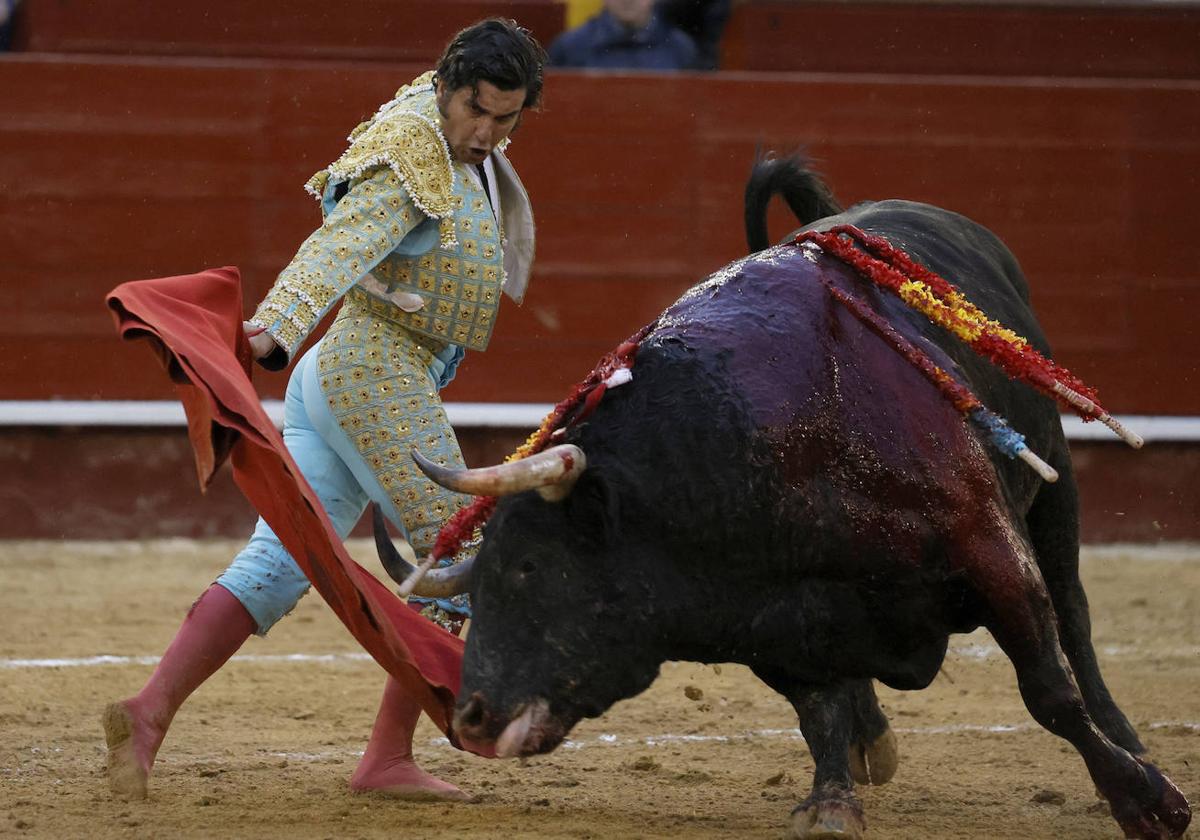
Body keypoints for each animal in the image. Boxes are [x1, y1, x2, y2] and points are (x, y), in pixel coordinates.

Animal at [379, 154, 1185, 835]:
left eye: (529, 568)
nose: (471, 717)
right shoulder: (773, 619)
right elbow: (817, 710)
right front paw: (831, 800)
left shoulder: (990, 549)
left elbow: (1049, 692)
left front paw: (1147, 802)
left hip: (1055, 479)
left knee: (1075, 617)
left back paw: (1128, 740)